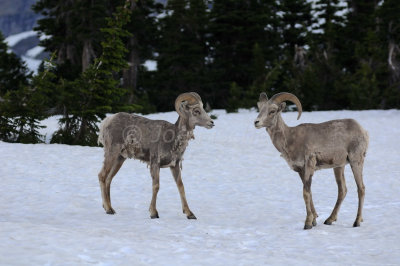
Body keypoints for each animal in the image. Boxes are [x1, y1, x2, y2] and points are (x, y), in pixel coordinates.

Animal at [255, 92, 370, 230]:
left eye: (272, 111)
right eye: (260, 108)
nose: (256, 122)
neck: (290, 139)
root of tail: (363, 131)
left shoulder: (309, 166)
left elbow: (305, 193)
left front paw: (308, 223)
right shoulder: (301, 171)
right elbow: (309, 193)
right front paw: (314, 220)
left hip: (356, 161)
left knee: (361, 188)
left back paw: (357, 222)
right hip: (338, 167)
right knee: (342, 190)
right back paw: (329, 220)